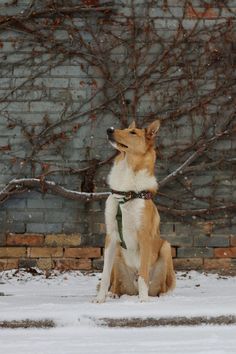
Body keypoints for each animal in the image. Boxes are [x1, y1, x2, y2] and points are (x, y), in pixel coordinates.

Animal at [94, 120, 175, 302]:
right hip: (118, 253)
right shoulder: (111, 236)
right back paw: (114, 293)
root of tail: (132, 289)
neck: (126, 194)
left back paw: (161, 295)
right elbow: (105, 275)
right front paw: (100, 300)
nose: (109, 130)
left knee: (163, 285)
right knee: (116, 283)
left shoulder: (144, 236)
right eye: (123, 128)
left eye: (132, 133)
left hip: (166, 247)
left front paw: (143, 301)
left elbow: (144, 274)